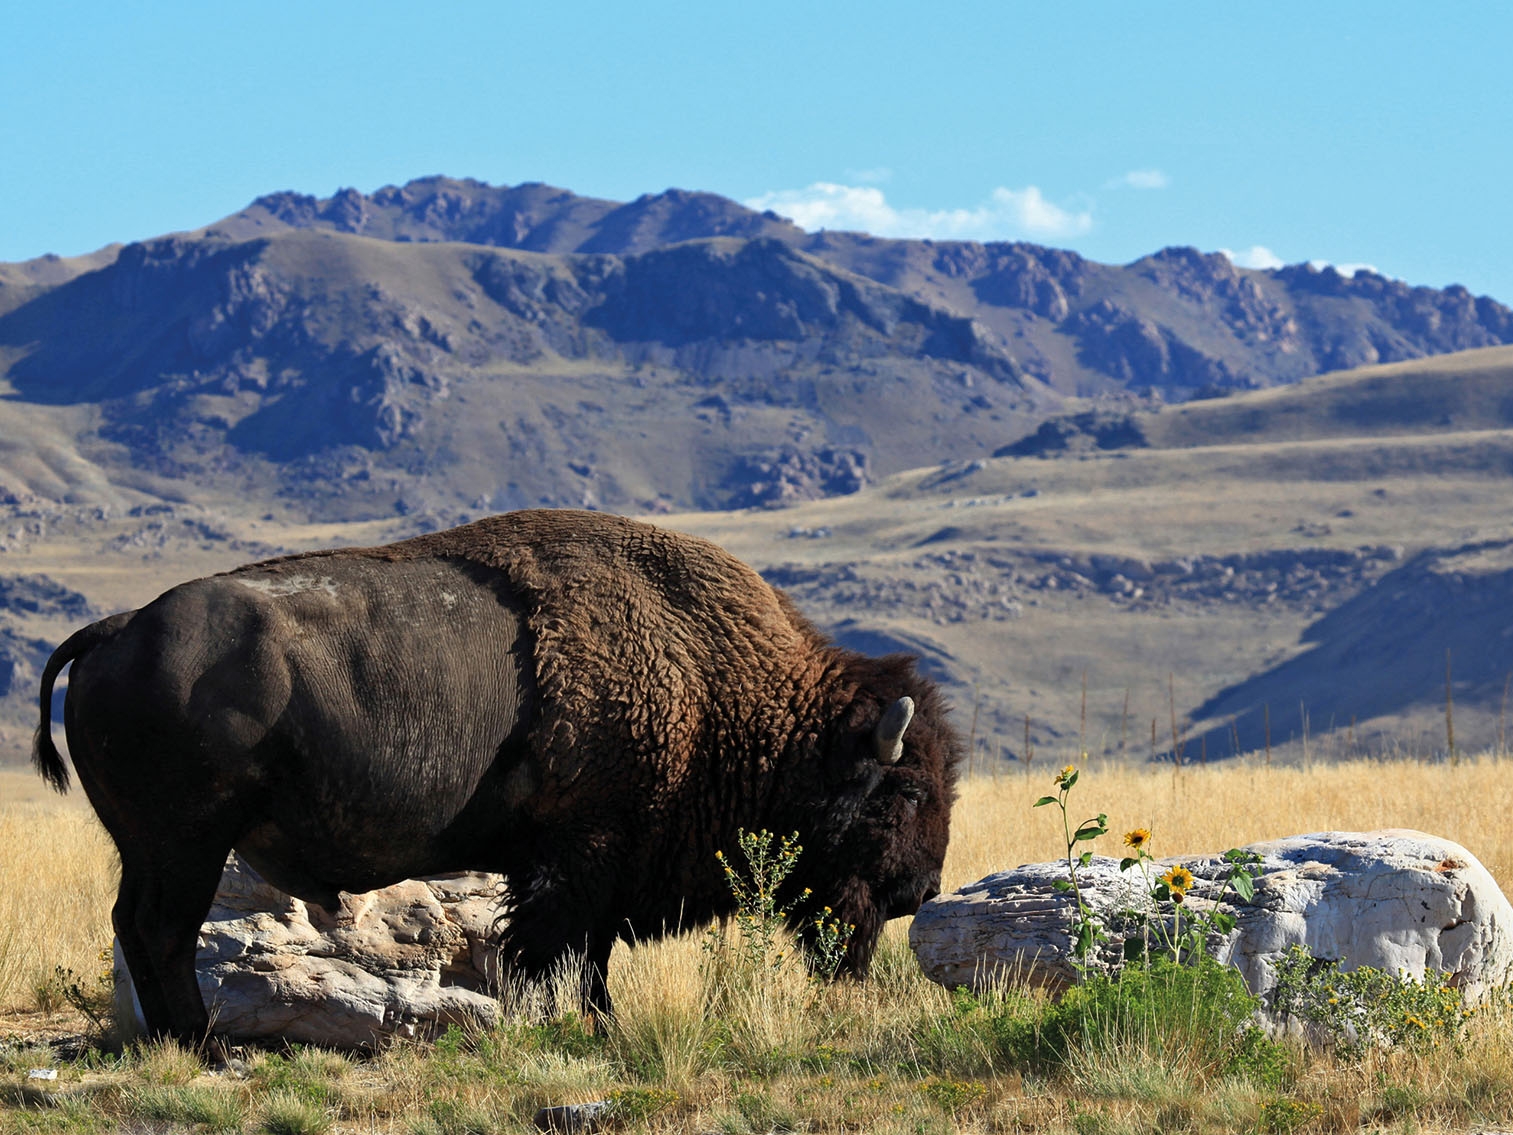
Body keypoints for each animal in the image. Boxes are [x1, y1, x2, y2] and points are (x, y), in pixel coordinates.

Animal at [35, 509, 960, 1048]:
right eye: (906, 790)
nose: (920, 888)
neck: (721, 686)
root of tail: (119, 626)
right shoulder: (580, 858)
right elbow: (557, 953)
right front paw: (578, 1028)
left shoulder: (590, 868)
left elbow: (585, 957)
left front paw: (595, 1026)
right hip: (185, 843)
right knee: (162, 931)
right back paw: (202, 1044)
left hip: (152, 848)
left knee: (136, 926)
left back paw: (170, 1041)